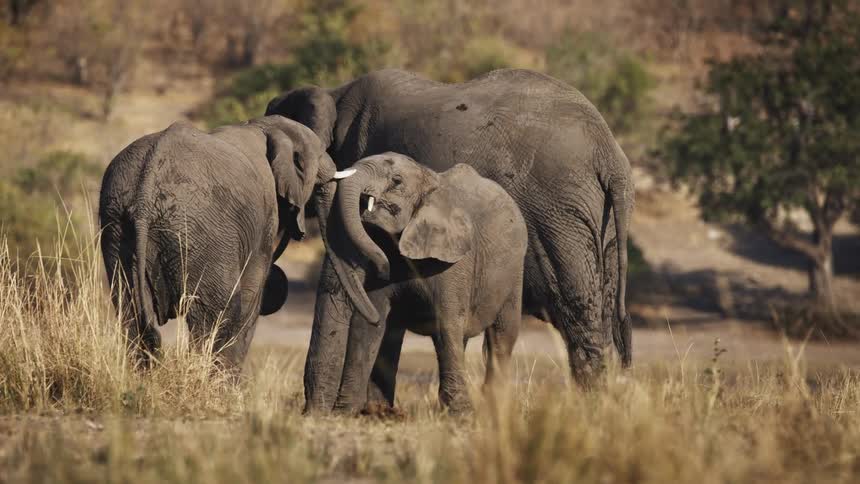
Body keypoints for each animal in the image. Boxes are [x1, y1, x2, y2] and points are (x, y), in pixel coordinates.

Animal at [99, 115, 353, 369]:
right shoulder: (264, 218)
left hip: (118, 227)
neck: (264, 127)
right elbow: (251, 295)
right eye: (320, 152)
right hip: (202, 234)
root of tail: (145, 190)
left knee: (130, 312)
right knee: (217, 315)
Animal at [318, 153, 527, 414]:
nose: (383, 267)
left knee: (501, 335)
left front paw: (463, 414)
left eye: (396, 181)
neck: (429, 178)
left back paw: (493, 408)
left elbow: (447, 321)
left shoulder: (455, 260)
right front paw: (343, 413)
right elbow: (367, 328)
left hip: (514, 272)